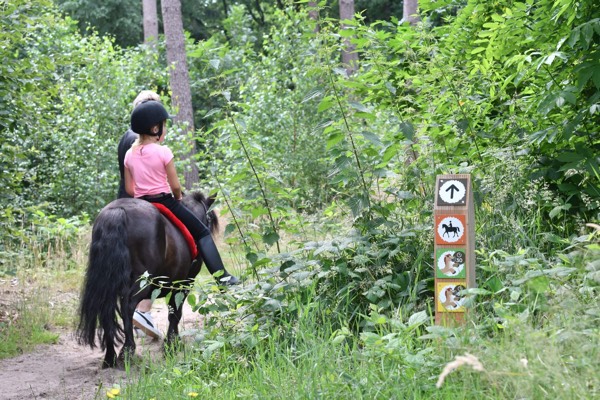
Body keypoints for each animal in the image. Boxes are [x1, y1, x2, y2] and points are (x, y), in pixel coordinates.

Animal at [76, 193, 218, 368]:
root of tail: (118, 211)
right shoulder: (183, 284)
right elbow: (175, 312)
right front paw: (172, 344)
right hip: (143, 280)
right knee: (128, 306)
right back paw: (127, 351)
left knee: (106, 310)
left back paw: (110, 357)